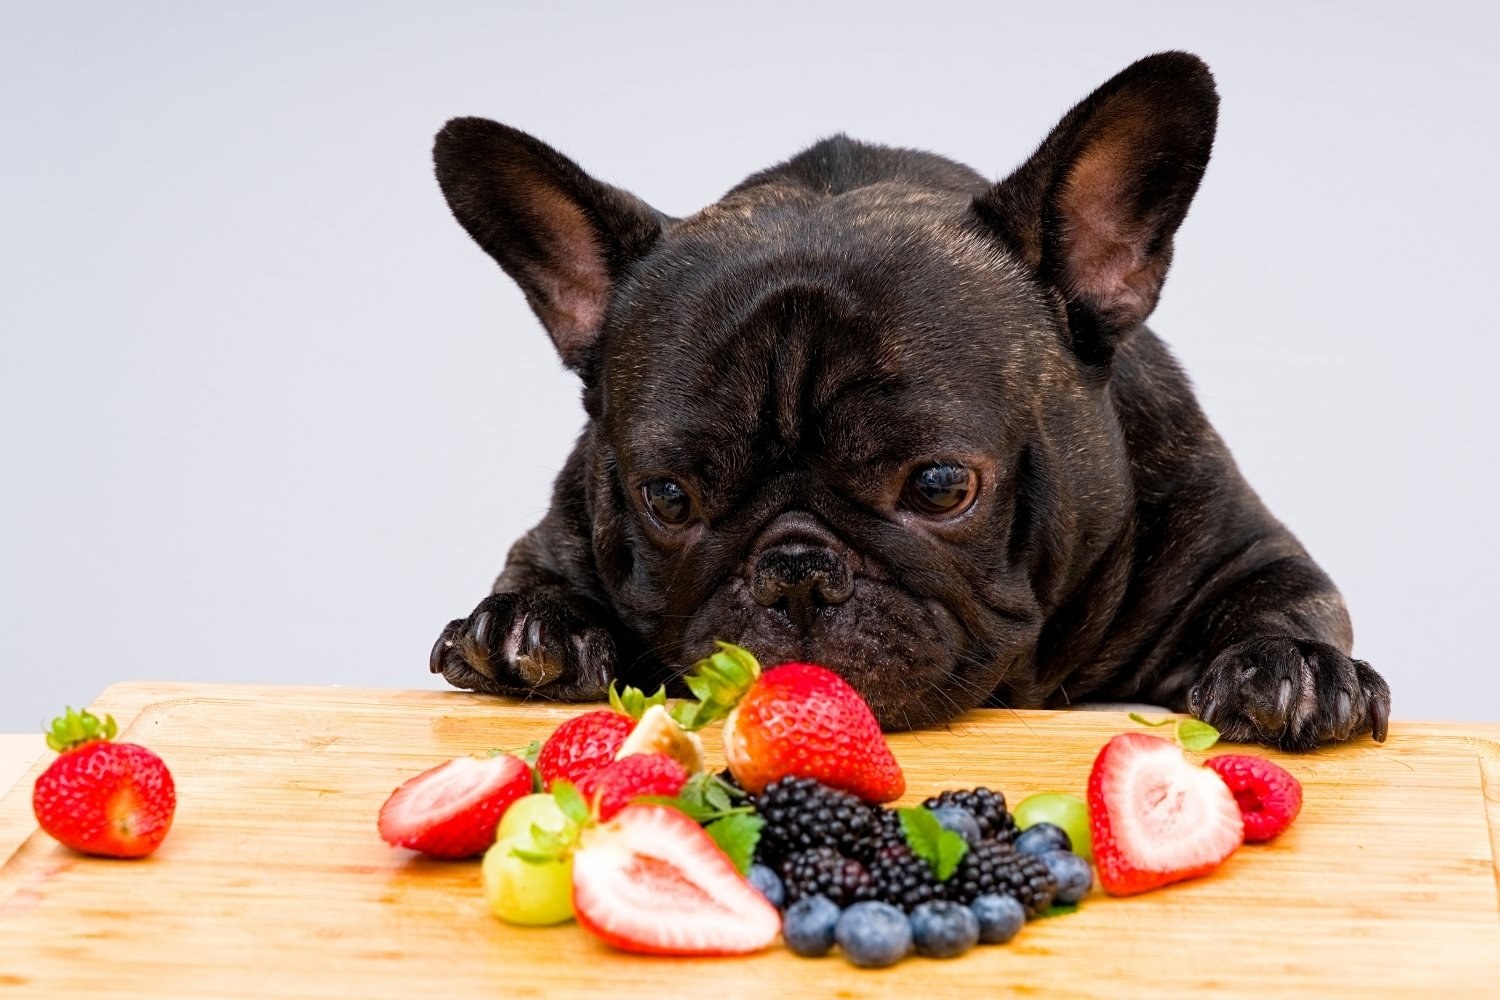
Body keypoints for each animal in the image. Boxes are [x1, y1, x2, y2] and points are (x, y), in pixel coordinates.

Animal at [423, 50, 1380, 746]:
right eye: (667, 497)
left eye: (940, 486)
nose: (796, 574)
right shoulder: (557, 528)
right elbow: (539, 575)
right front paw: (529, 626)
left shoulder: (1243, 546)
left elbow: (1284, 598)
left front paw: (1290, 667)